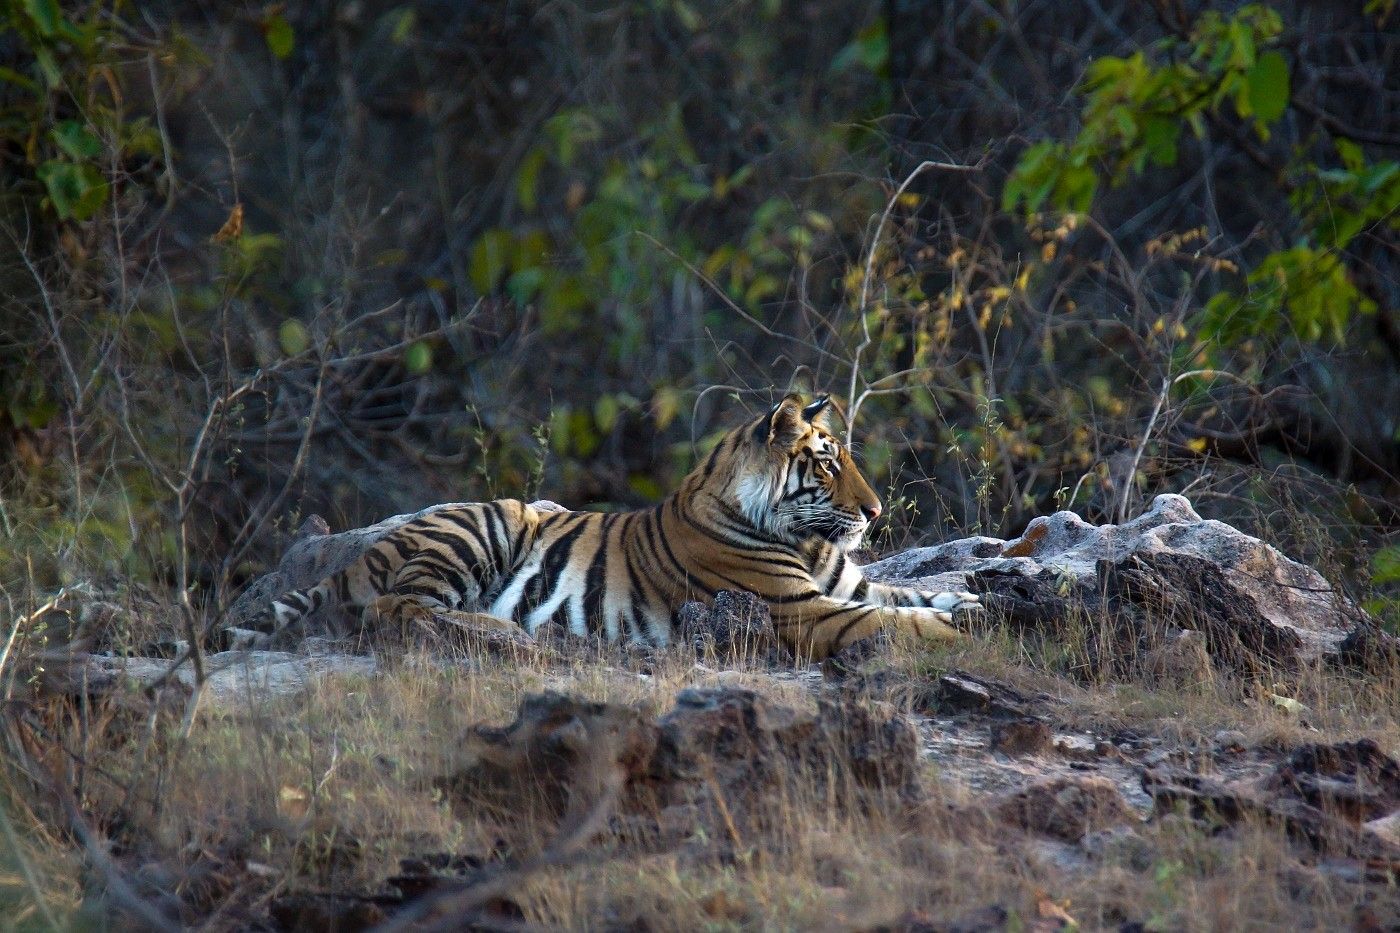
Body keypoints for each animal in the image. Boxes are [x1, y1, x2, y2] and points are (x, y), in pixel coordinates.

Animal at [260, 389, 985, 652]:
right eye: (829, 462)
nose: (875, 510)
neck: (807, 542)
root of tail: (376, 544)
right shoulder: (802, 610)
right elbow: (900, 620)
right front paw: (957, 628)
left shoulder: (855, 584)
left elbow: (917, 593)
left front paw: (982, 602)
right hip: (483, 523)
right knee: (398, 609)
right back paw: (511, 632)